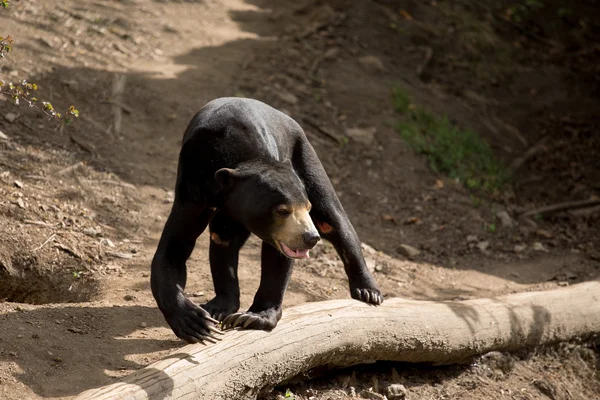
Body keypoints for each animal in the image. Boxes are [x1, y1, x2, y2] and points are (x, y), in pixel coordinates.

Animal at [152, 97, 382, 344]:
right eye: (282, 211)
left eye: (307, 208)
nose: (310, 238)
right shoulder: (193, 187)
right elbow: (174, 249)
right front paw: (195, 321)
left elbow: (278, 258)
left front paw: (252, 317)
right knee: (222, 238)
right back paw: (218, 306)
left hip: (304, 156)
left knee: (333, 220)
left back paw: (368, 291)